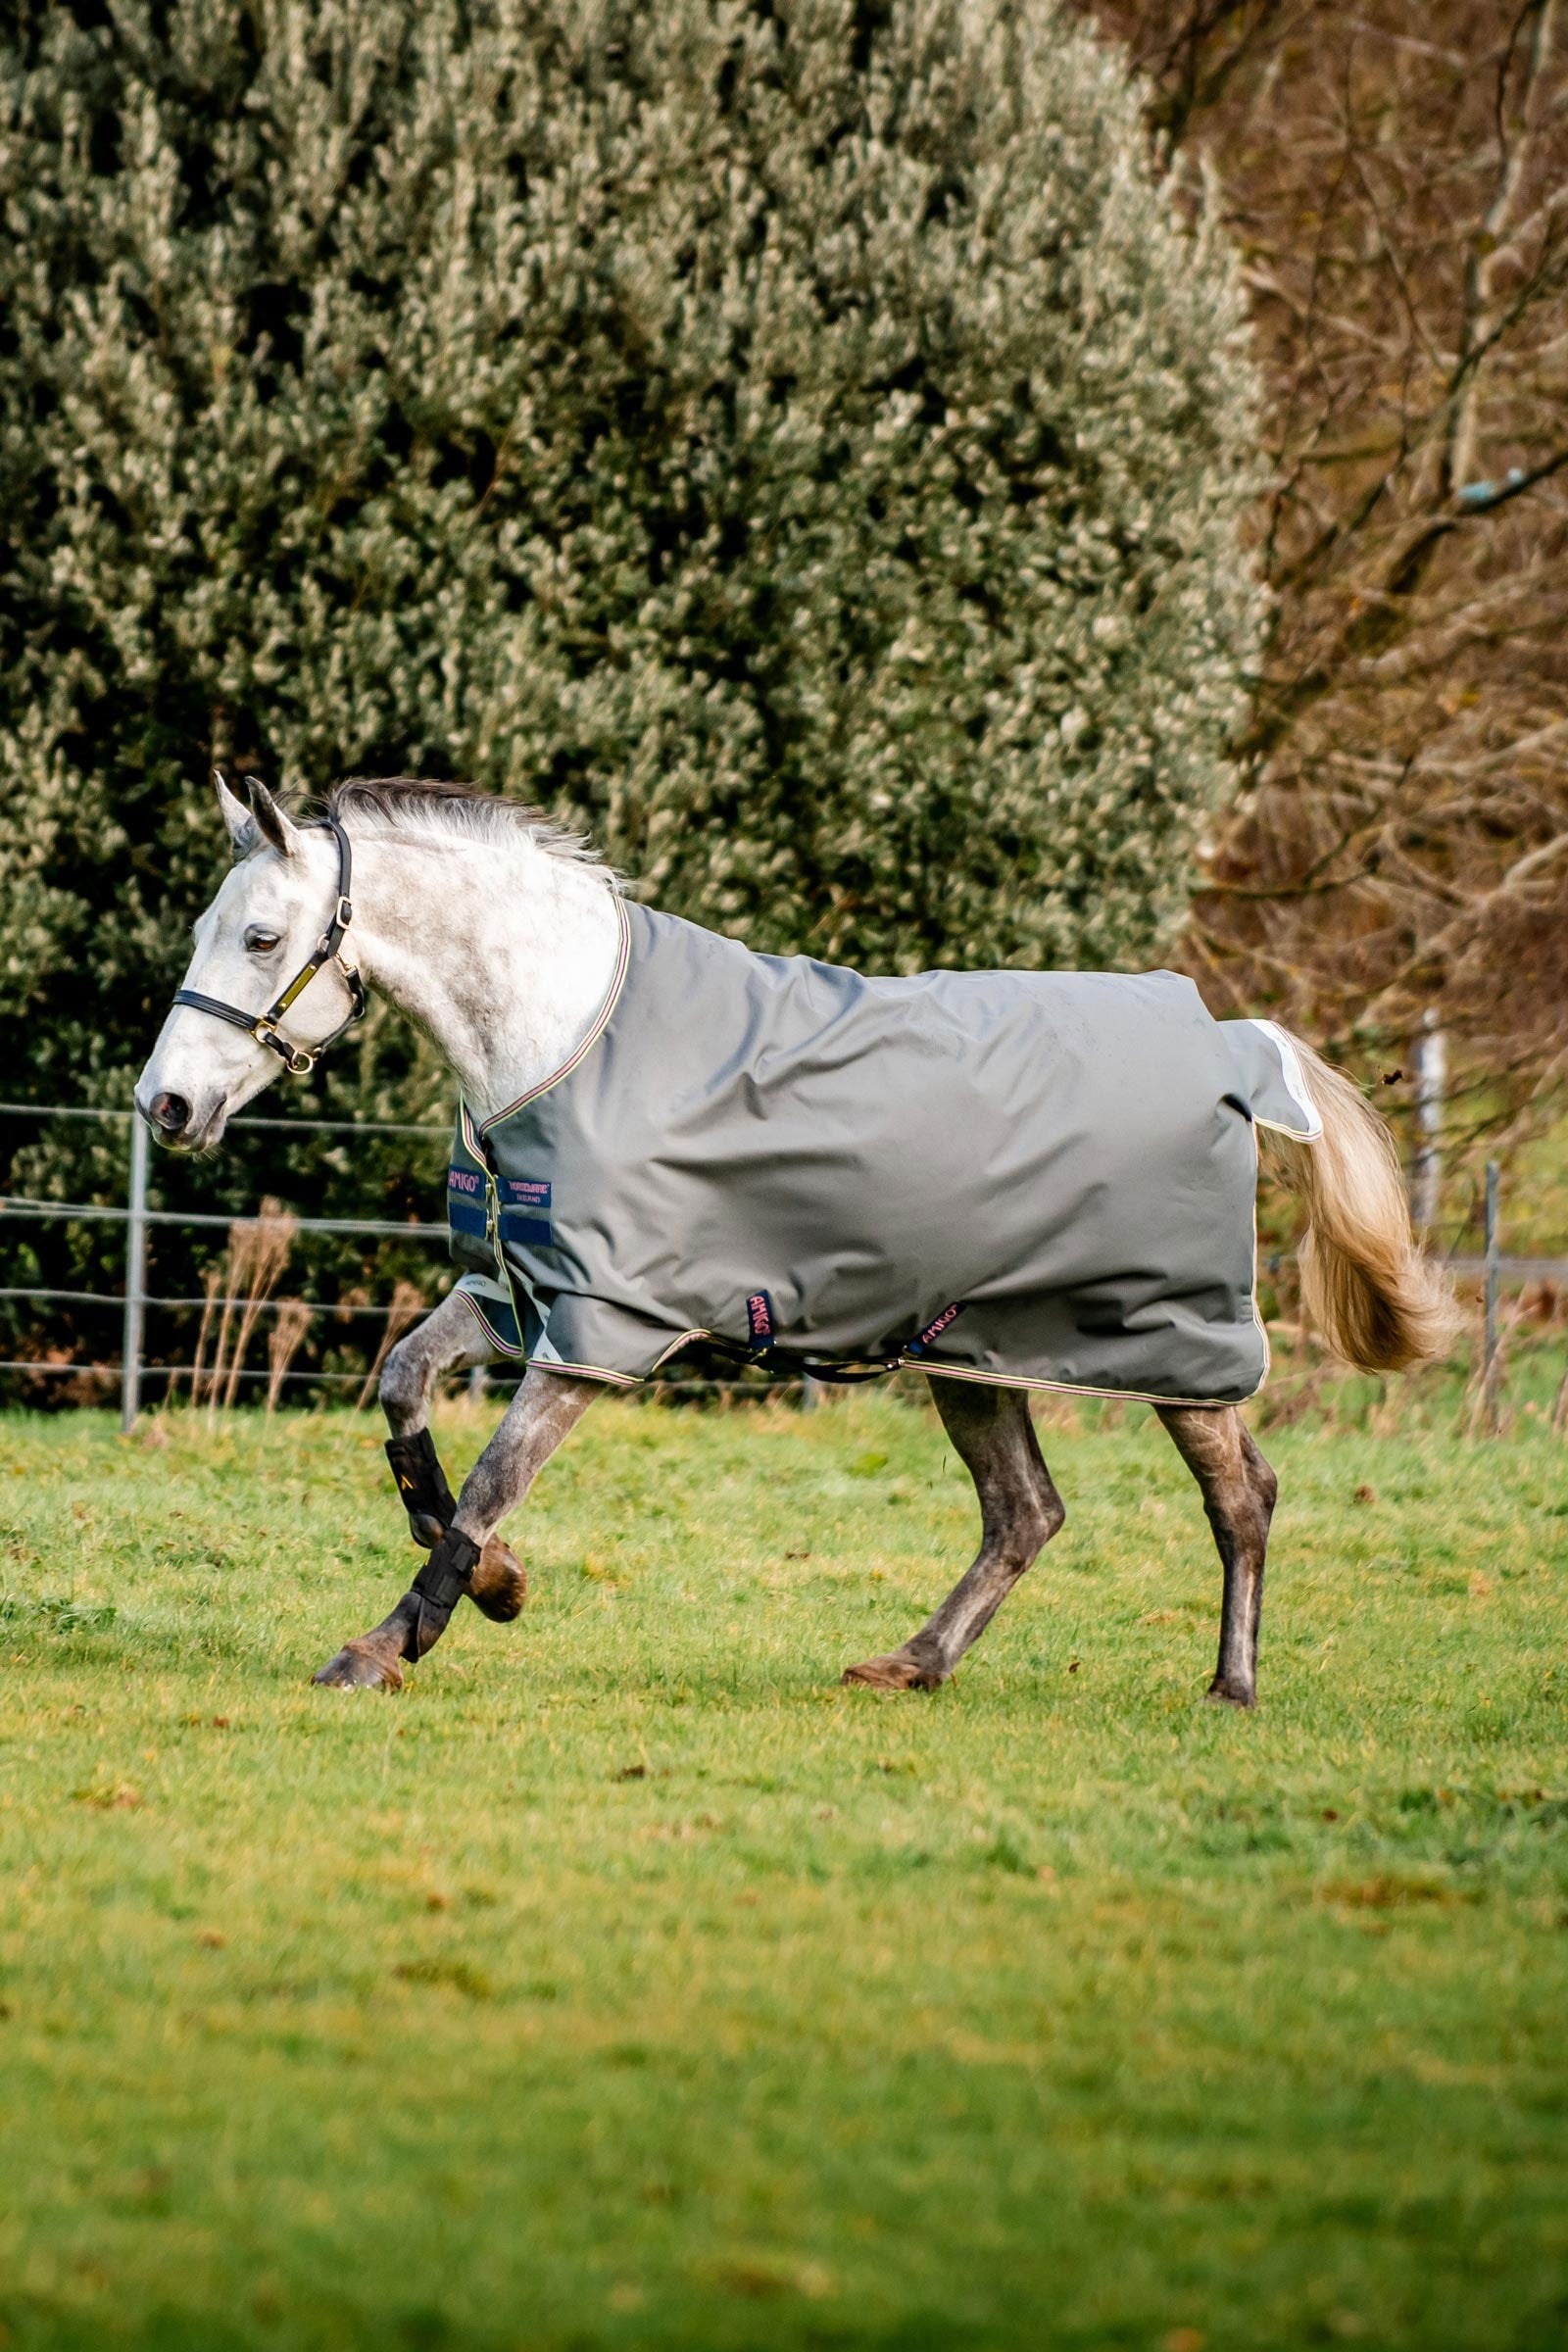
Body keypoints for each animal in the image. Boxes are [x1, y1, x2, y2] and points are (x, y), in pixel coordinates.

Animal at [135, 774, 1452, 1705]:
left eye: (259, 938)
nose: (166, 1107)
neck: (565, 1035)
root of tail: (1231, 1041)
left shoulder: (606, 1328)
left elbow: (494, 1480)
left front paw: (386, 1644)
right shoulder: (522, 1290)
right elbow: (405, 1392)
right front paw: (503, 1588)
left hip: (1171, 1346)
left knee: (1242, 1499)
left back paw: (1230, 1686)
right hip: (973, 1350)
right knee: (1024, 1514)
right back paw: (910, 1665)